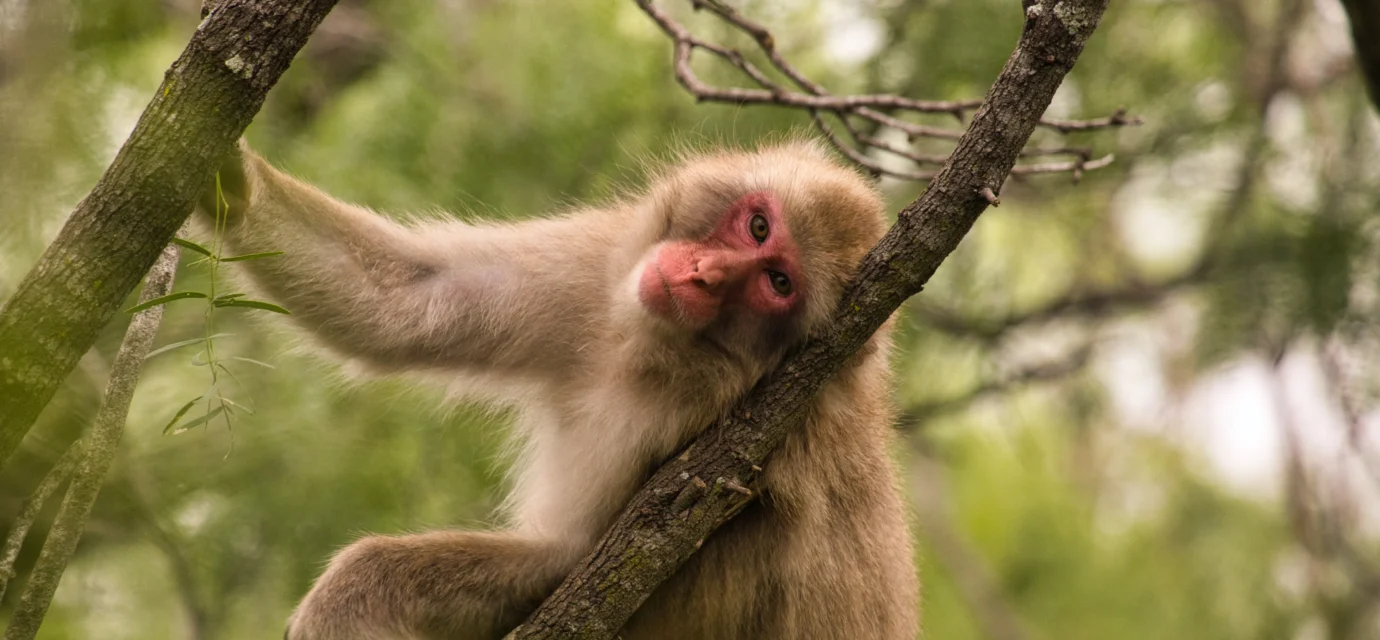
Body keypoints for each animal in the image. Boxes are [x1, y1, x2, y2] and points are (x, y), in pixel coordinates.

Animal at [196, 138, 918, 639]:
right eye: (759, 227)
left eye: (776, 283)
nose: (705, 276)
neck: (650, 349)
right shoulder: (596, 268)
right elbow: (410, 301)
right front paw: (228, 176)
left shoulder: (717, 430)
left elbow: (590, 566)